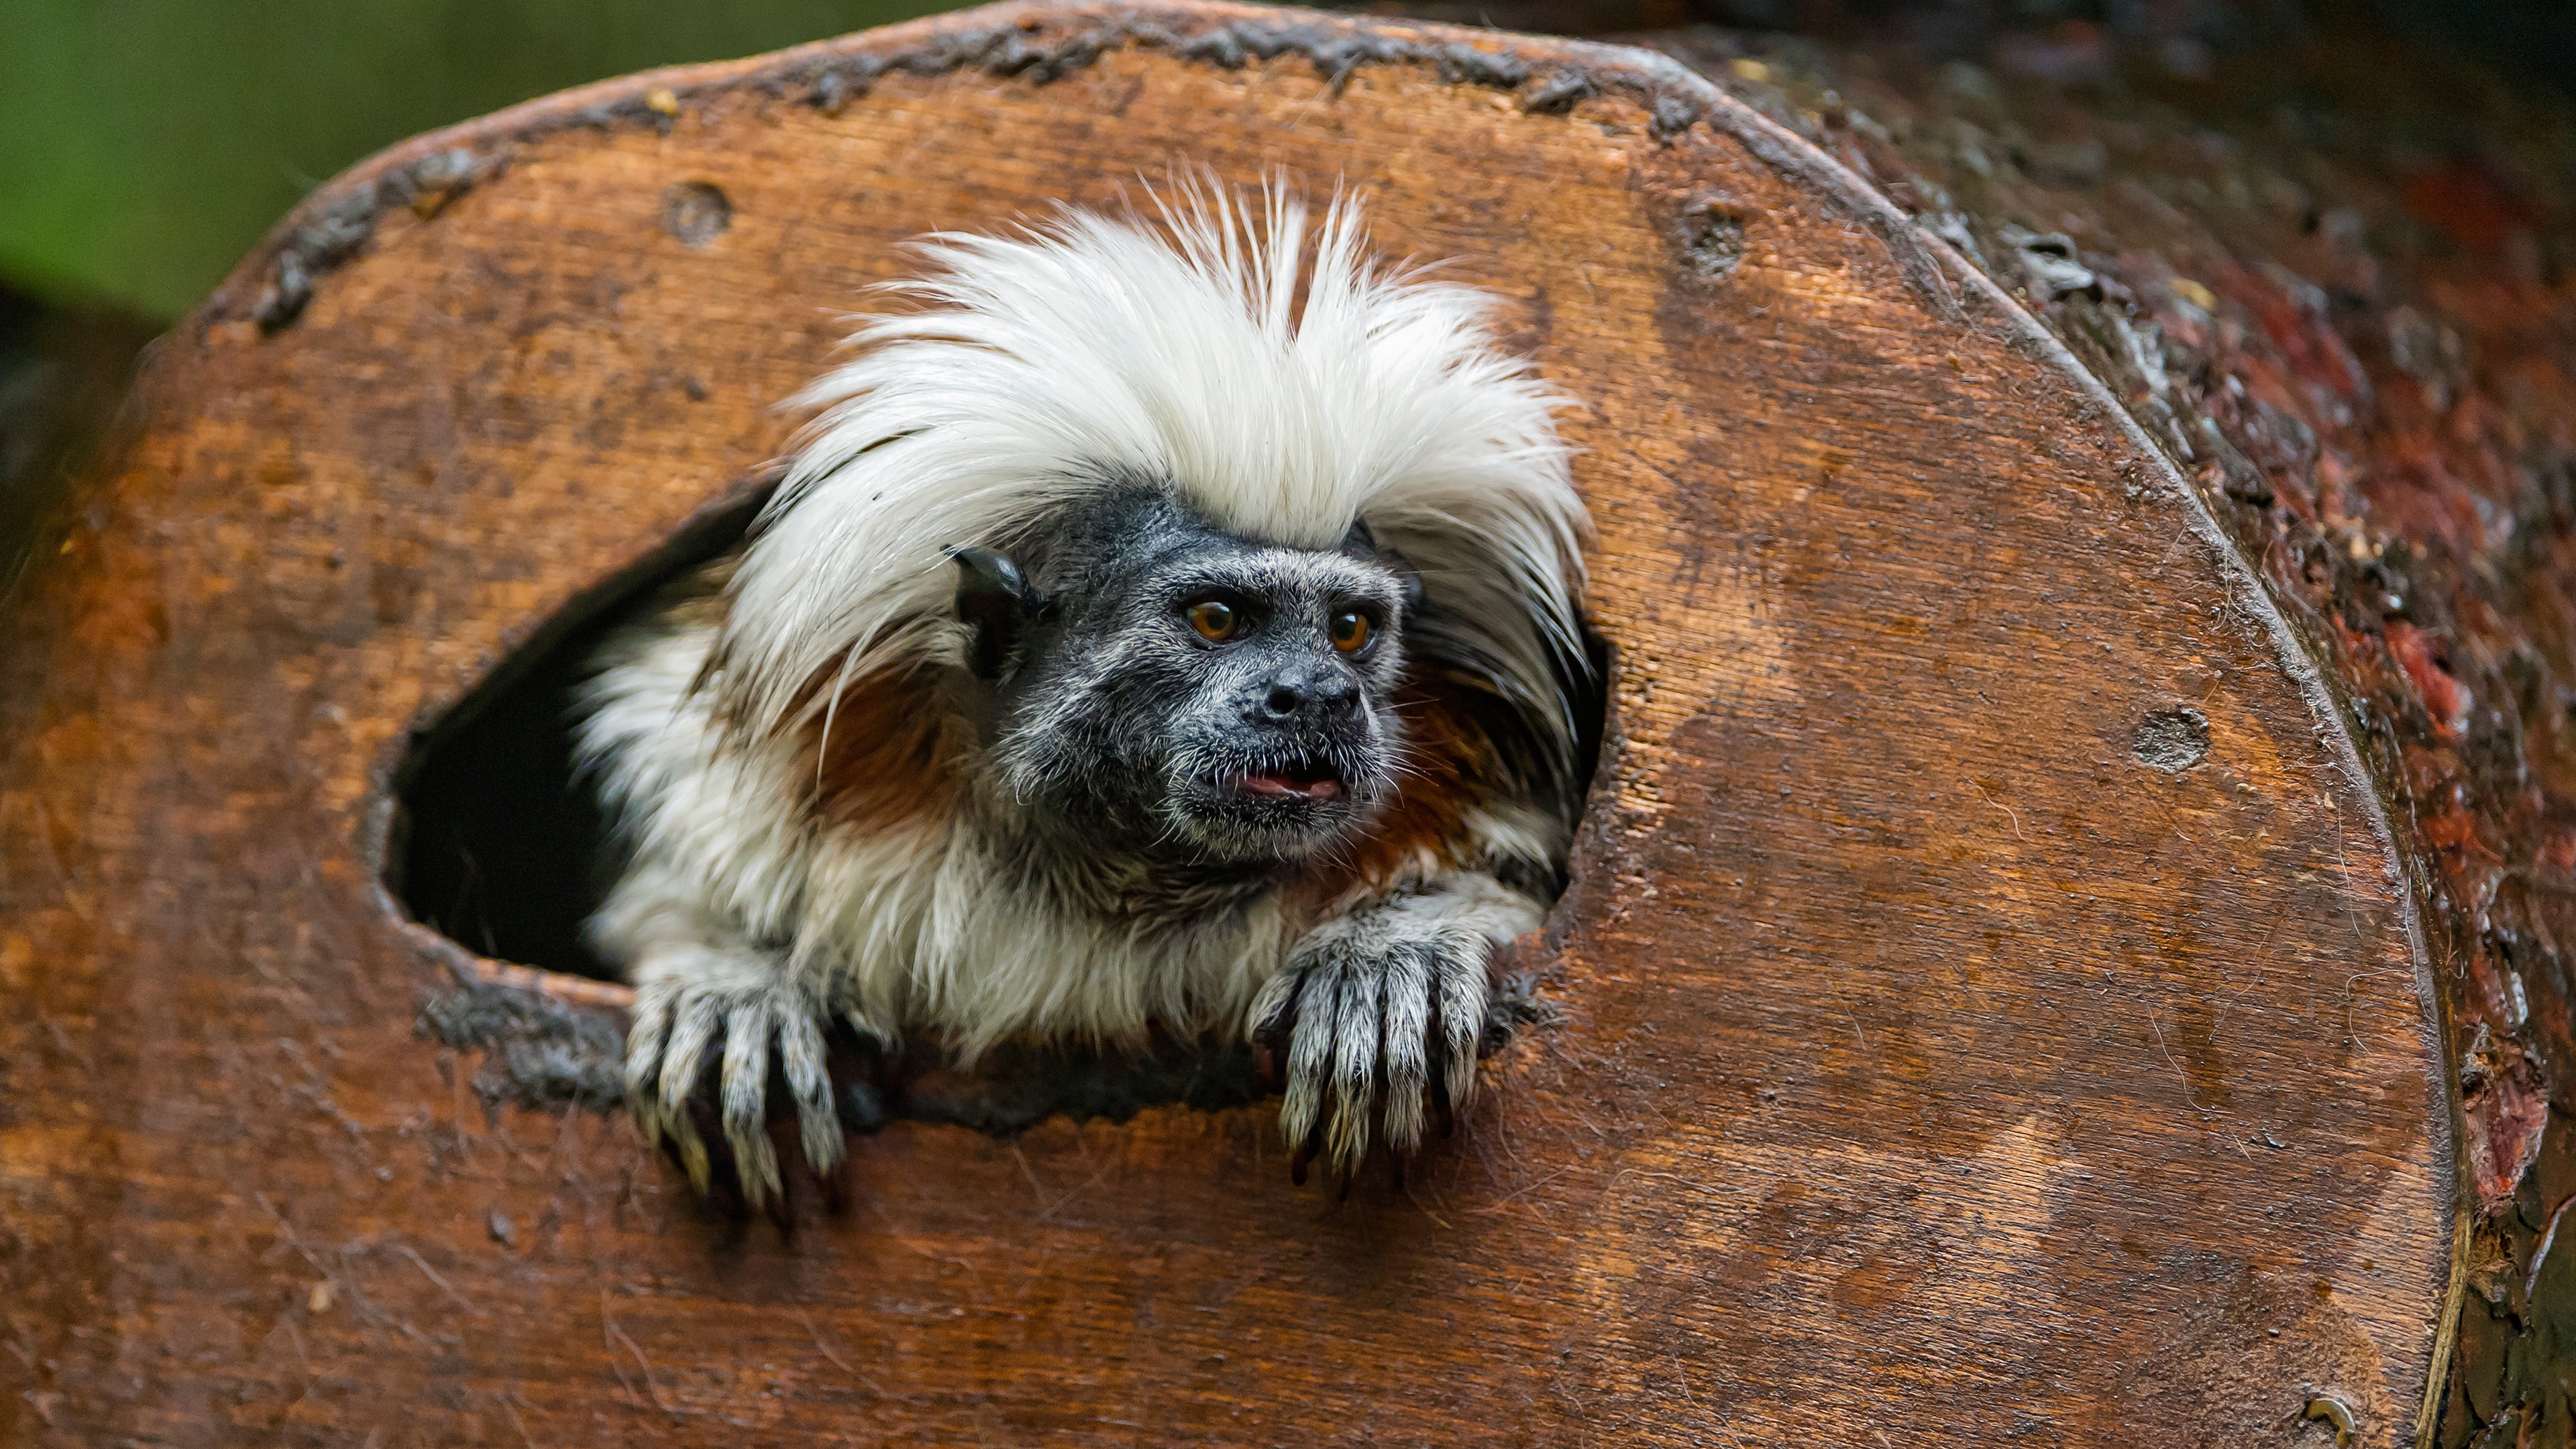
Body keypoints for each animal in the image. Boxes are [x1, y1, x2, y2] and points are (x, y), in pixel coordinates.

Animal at [574, 184, 1591, 1207]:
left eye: (1349, 630)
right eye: (1217, 618)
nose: (1317, 696)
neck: (1123, 873)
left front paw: (1391, 954)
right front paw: (733, 981)